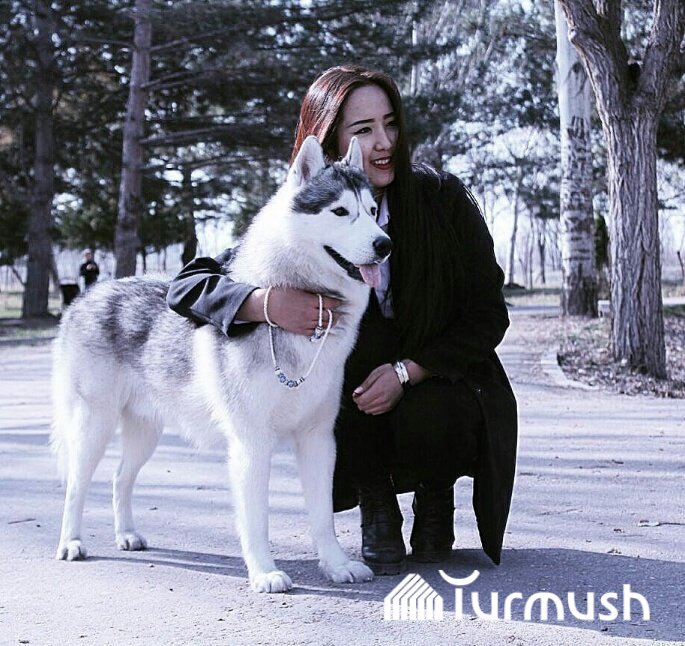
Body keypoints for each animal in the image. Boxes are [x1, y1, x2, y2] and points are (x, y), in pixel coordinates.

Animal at [51, 136, 392, 593]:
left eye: (372, 211)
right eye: (340, 212)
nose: (384, 244)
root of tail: (86, 296)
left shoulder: (318, 439)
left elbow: (322, 517)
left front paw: (336, 565)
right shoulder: (252, 443)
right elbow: (257, 518)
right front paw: (264, 572)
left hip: (145, 434)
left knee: (120, 478)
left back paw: (127, 534)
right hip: (94, 428)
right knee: (76, 485)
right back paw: (71, 543)